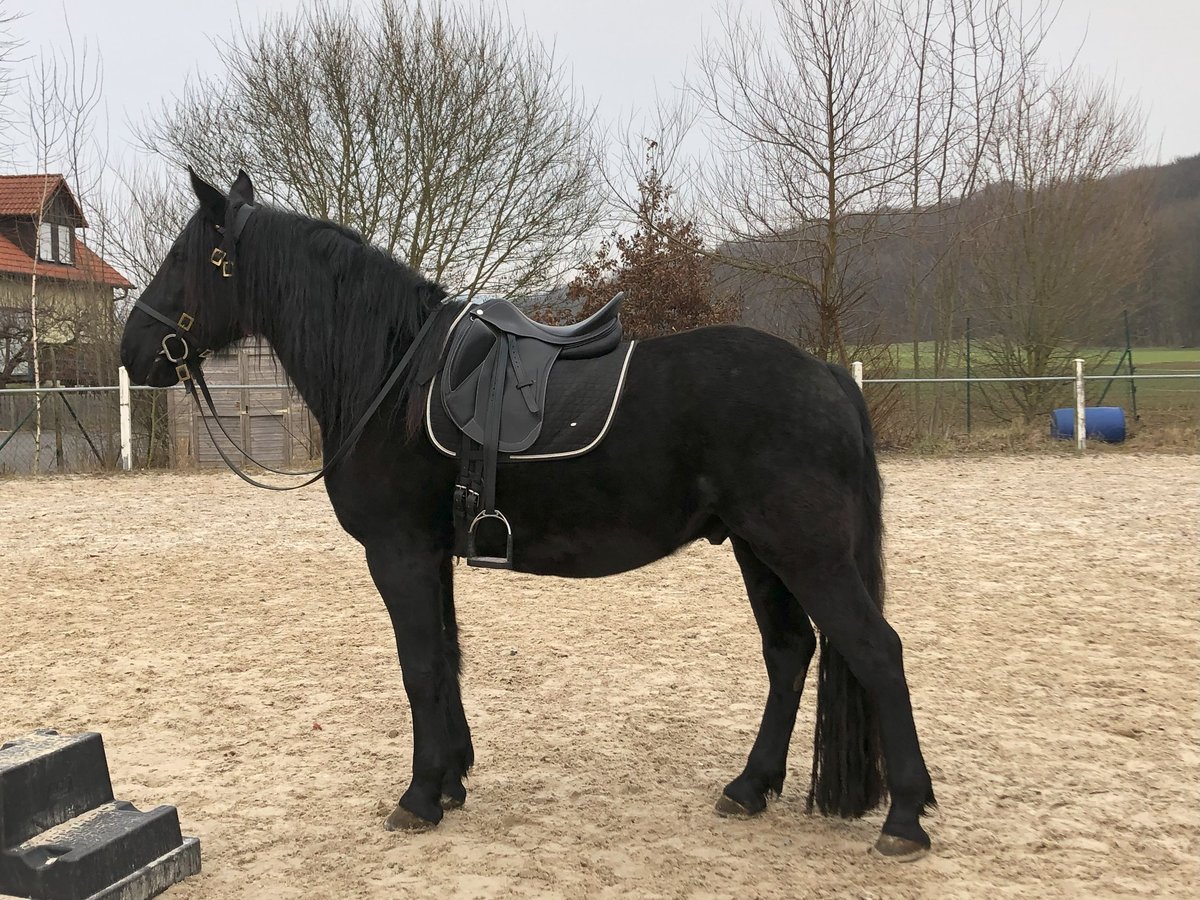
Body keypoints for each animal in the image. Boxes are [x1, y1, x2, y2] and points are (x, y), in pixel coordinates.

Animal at [117, 170, 931, 859]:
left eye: (187, 256)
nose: (133, 351)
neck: (390, 376)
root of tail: (825, 375)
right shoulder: (431, 555)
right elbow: (446, 658)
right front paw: (451, 780)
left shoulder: (398, 553)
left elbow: (419, 665)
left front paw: (419, 797)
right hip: (758, 549)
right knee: (789, 652)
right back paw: (750, 787)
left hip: (804, 551)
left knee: (876, 652)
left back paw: (904, 819)